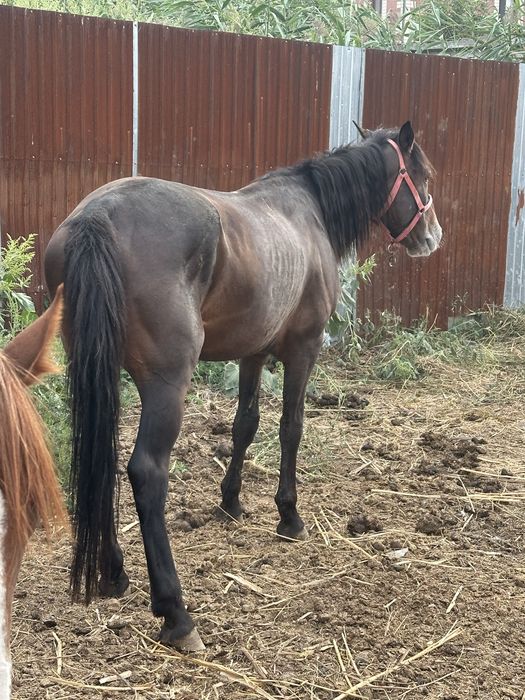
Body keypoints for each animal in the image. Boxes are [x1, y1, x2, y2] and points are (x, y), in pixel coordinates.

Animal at [44, 121, 442, 652]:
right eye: (422, 174)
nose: (432, 235)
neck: (307, 212)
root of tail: (96, 217)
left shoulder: (254, 352)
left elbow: (244, 426)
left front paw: (230, 501)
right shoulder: (301, 350)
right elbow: (291, 428)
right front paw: (289, 516)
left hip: (97, 370)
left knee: (100, 454)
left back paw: (113, 573)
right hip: (166, 384)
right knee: (147, 472)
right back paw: (176, 614)